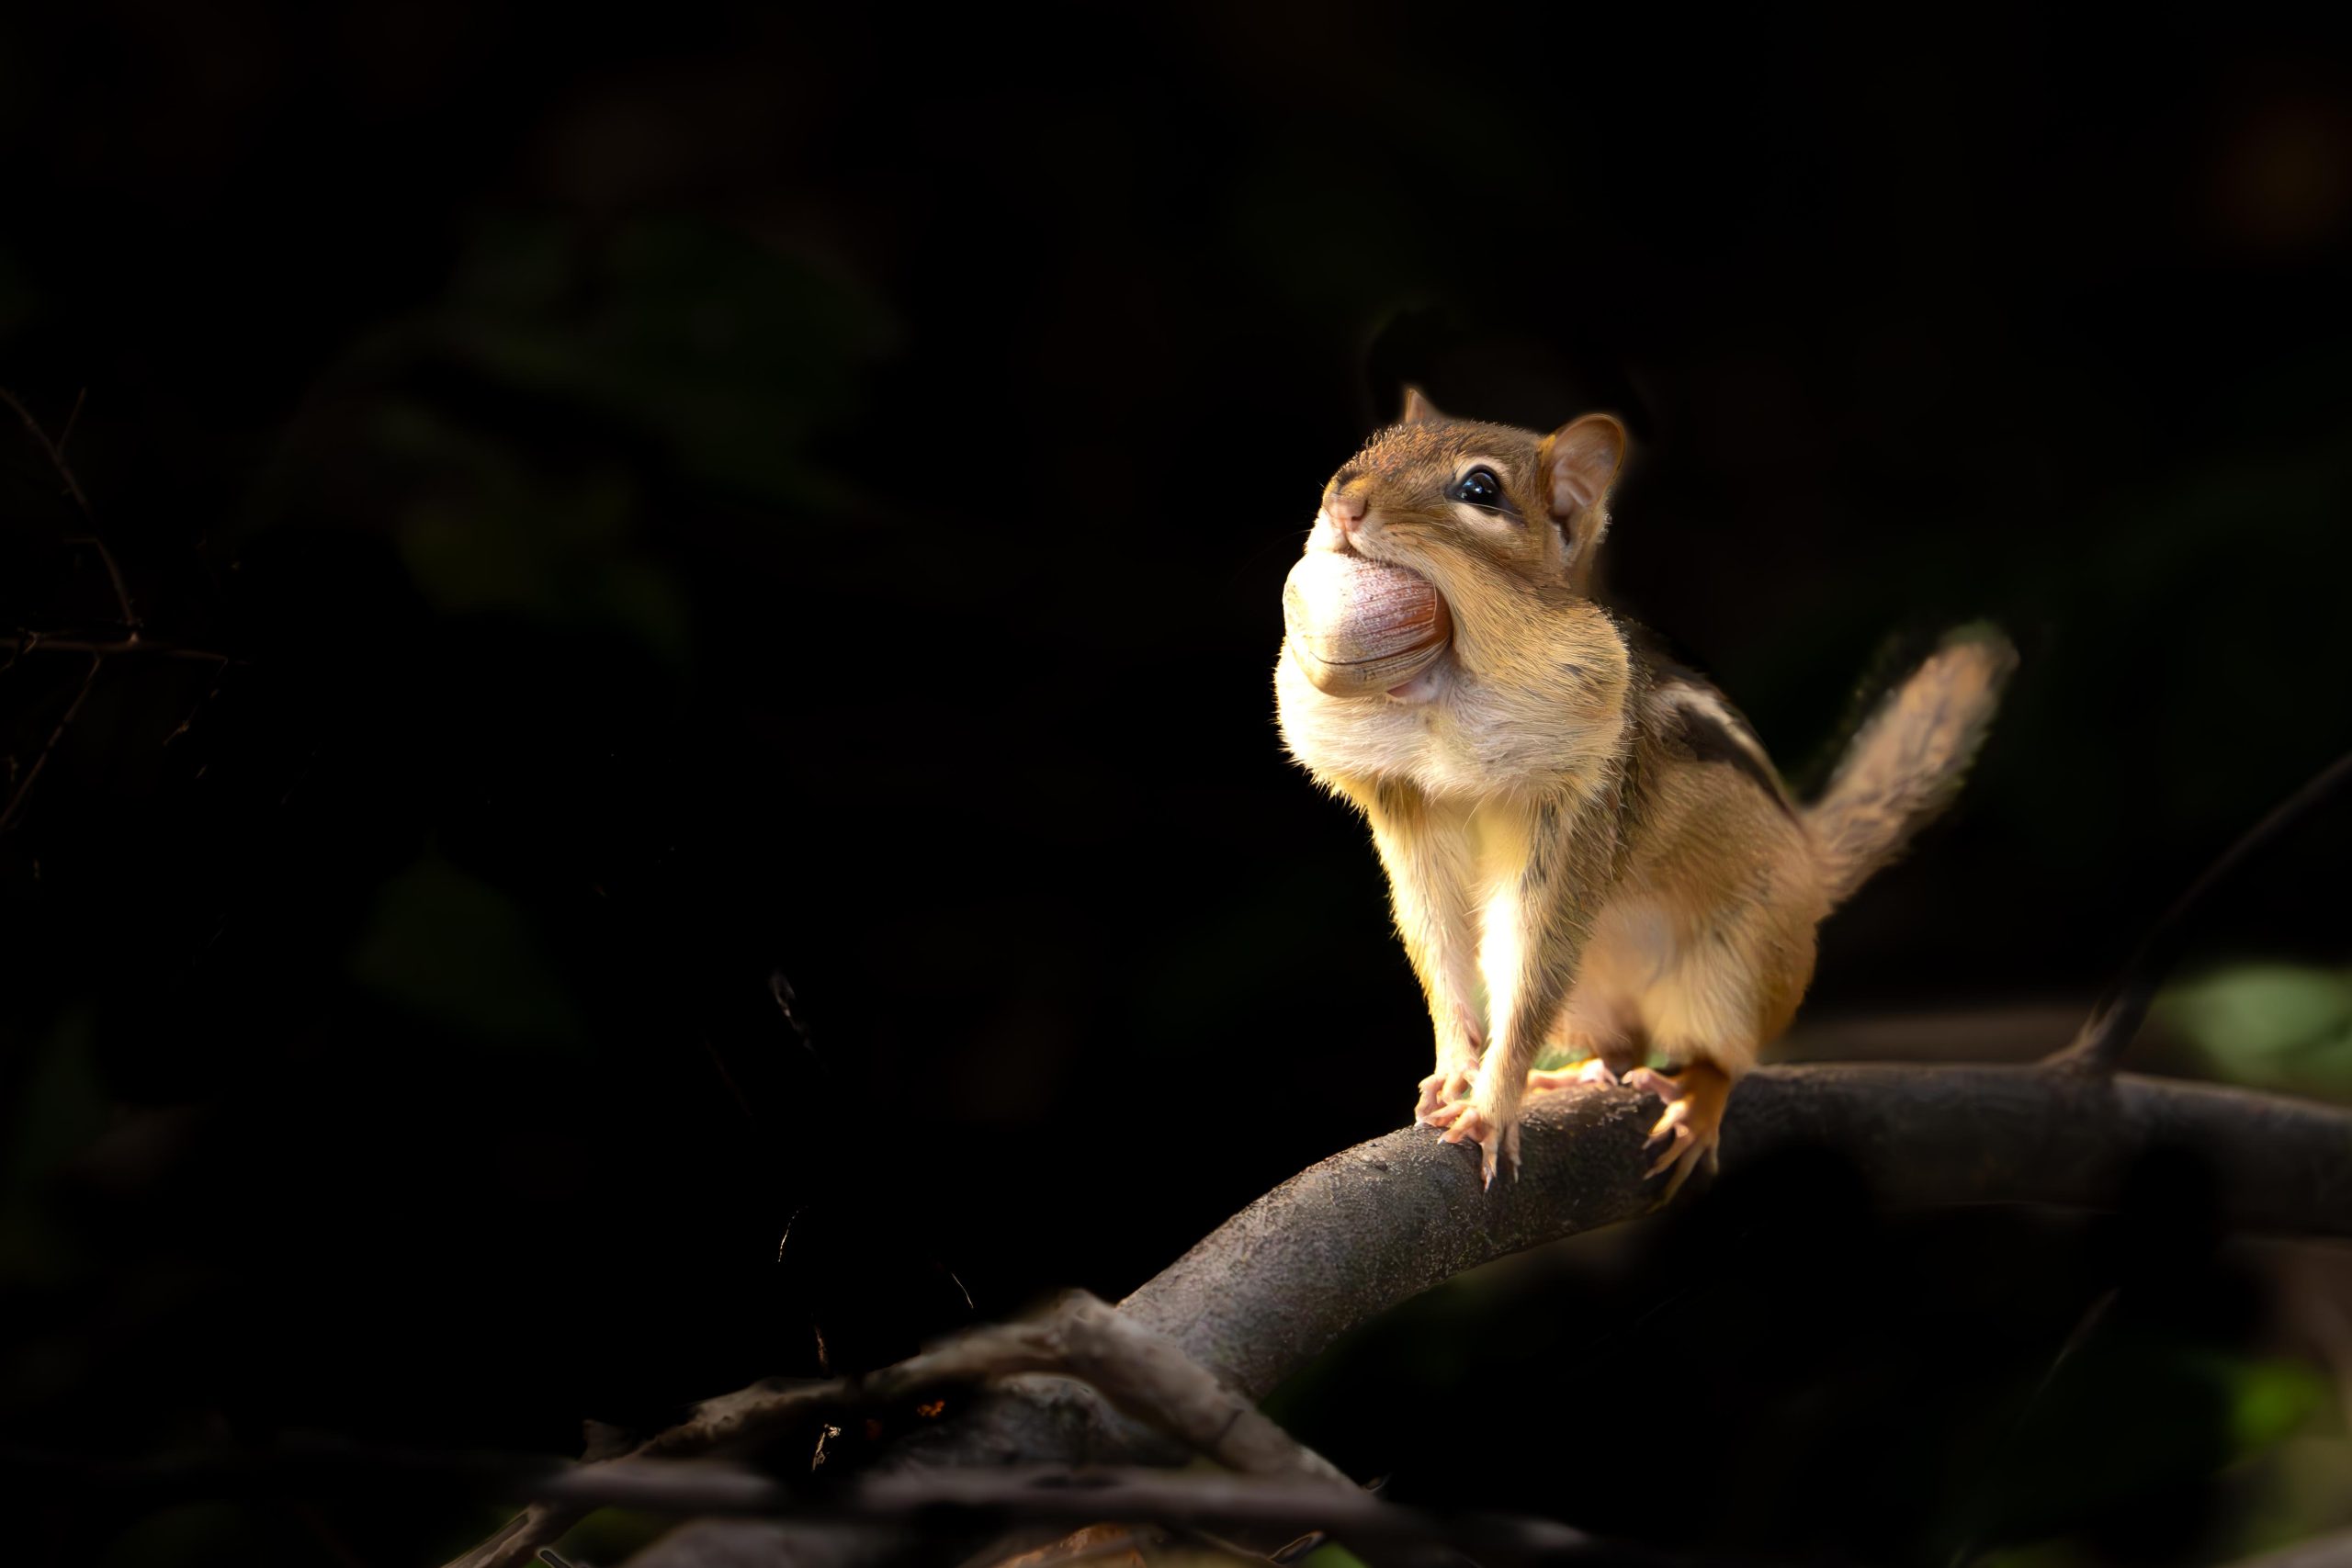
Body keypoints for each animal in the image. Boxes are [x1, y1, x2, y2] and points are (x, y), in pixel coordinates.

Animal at [1274, 387, 2015, 1192]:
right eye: (1373, 444)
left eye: (1480, 490)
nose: (1344, 501)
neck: (1441, 695)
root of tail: (1814, 870)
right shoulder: (1407, 809)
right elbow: (1437, 942)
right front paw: (1456, 1067)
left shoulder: (1575, 811)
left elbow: (1532, 967)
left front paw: (1493, 1103)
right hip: (1598, 998)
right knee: (1620, 1045)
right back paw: (1569, 1076)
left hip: (1735, 969)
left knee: (1720, 1056)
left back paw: (1694, 1101)